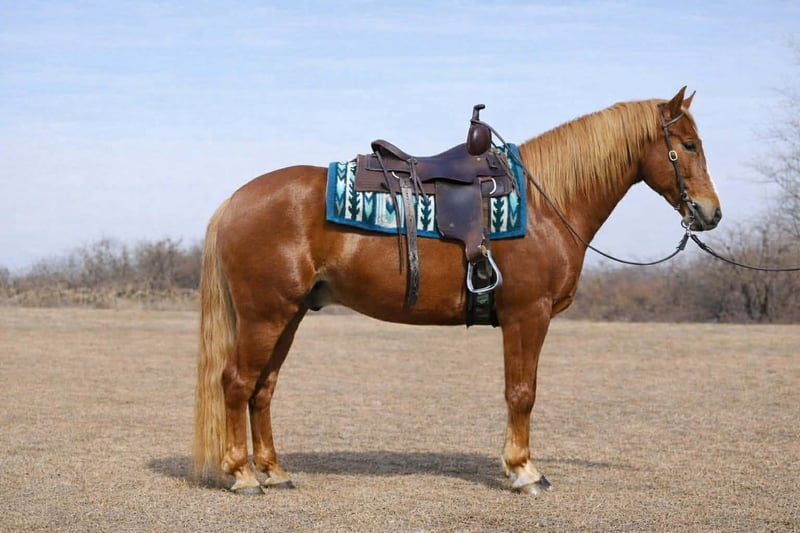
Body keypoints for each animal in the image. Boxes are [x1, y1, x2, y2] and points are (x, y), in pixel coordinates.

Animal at [192, 87, 722, 495]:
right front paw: (524, 471)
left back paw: (274, 472)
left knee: (263, 389)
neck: (545, 204)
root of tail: (236, 200)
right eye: (689, 145)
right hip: (265, 315)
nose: (710, 212)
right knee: (236, 383)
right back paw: (242, 475)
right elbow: (522, 393)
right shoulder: (528, 315)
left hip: (290, 314)